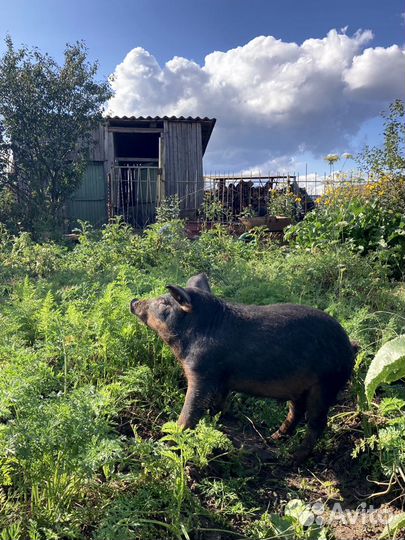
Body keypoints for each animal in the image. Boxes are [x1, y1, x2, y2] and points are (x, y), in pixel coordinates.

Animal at [131, 276, 356, 462]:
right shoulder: (222, 381)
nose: (134, 301)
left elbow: (191, 409)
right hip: (300, 388)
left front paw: (168, 443)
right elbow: (218, 405)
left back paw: (294, 458)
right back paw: (273, 438)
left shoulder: (203, 373)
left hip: (325, 385)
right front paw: (215, 423)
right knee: (297, 412)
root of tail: (349, 347)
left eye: (164, 302)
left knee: (317, 423)